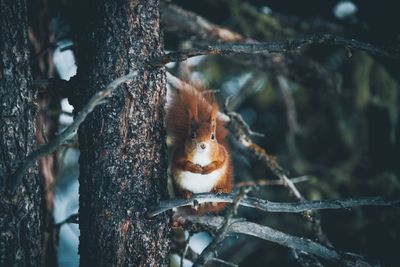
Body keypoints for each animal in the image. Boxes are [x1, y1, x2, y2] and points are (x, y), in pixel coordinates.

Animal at [166, 82, 234, 214]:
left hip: (224, 180)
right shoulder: (178, 154)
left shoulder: (221, 153)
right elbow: (181, 163)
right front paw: (194, 168)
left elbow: (219, 163)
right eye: (192, 135)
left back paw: (219, 191)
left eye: (212, 136)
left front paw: (208, 169)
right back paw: (186, 193)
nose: (203, 145)